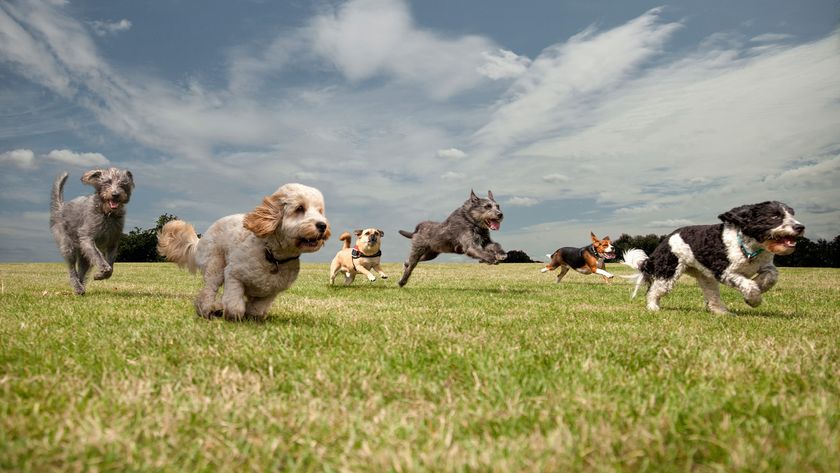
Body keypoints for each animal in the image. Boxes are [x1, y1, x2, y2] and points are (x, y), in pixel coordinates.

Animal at [159, 183, 330, 318]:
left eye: (320, 211)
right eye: (300, 208)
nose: (322, 225)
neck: (272, 256)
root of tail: (201, 239)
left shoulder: (271, 291)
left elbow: (257, 308)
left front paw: (253, 316)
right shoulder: (233, 275)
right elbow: (234, 303)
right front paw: (234, 314)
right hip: (215, 266)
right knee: (208, 291)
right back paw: (207, 309)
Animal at [624, 200, 808, 314]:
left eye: (792, 214)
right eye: (775, 216)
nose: (800, 227)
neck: (748, 246)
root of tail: (664, 241)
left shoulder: (765, 265)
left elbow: (772, 275)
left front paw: (760, 285)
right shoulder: (724, 271)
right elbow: (748, 285)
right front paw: (753, 299)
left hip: (706, 278)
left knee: (712, 297)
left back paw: (722, 312)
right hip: (669, 271)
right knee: (653, 291)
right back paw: (653, 307)